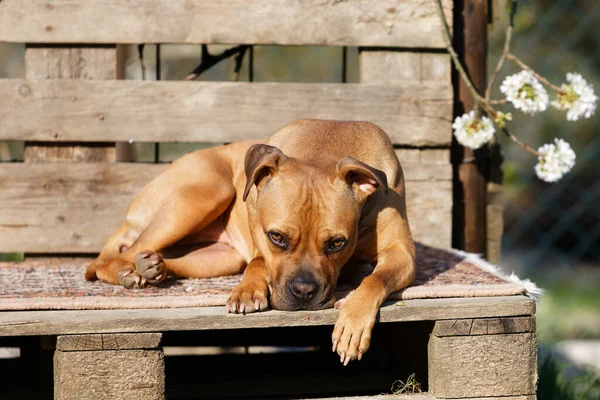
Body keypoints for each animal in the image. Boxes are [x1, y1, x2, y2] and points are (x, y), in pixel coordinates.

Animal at [85, 118, 412, 362]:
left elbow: (376, 278)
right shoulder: (258, 239)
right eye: (276, 237)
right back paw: (132, 273)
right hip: (205, 193)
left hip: (218, 257)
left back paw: (154, 268)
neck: (326, 147)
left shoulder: (402, 253)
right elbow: (257, 262)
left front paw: (353, 320)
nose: (304, 292)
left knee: (167, 258)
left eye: (336, 243)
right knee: (113, 259)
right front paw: (248, 290)